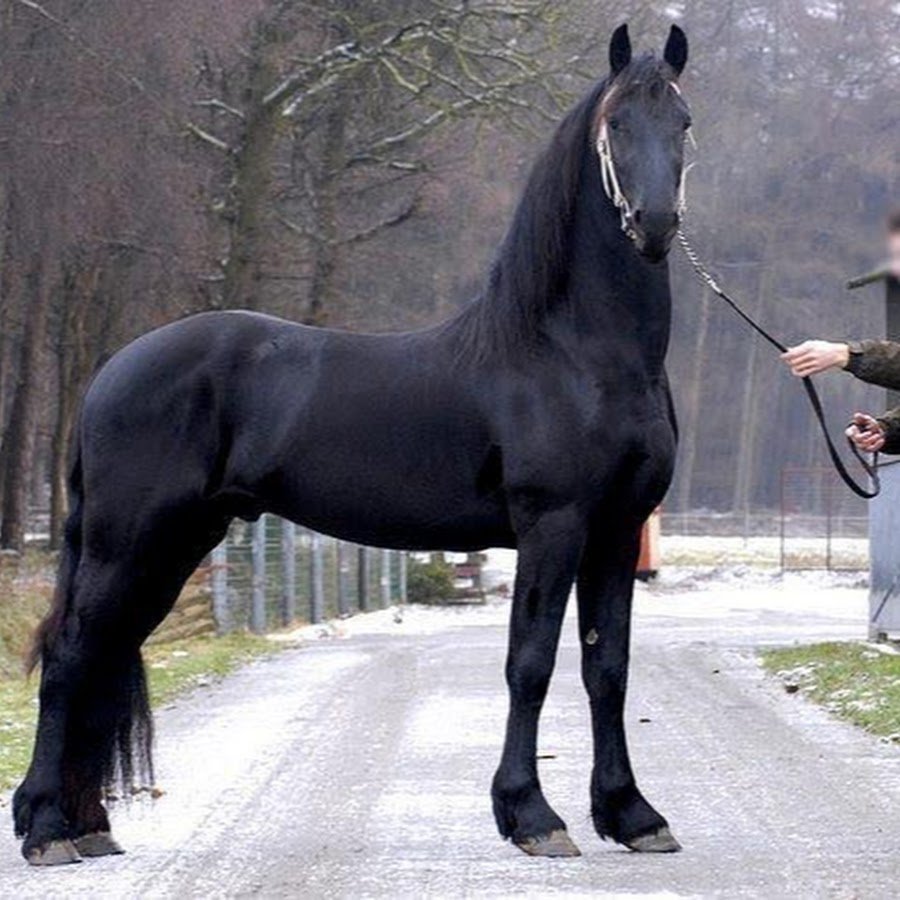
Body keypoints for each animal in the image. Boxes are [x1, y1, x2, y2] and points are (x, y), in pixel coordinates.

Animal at [14, 22, 692, 865]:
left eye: (683, 122)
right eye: (616, 125)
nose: (654, 225)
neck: (574, 352)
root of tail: (111, 371)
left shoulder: (617, 530)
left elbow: (609, 668)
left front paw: (632, 815)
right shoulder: (553, 525)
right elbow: (530, 663)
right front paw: (533, 816)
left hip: (170, 545)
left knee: (104, 654)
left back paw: (87, 825)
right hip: (127, 541)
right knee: (72, 657)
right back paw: (46, 830)